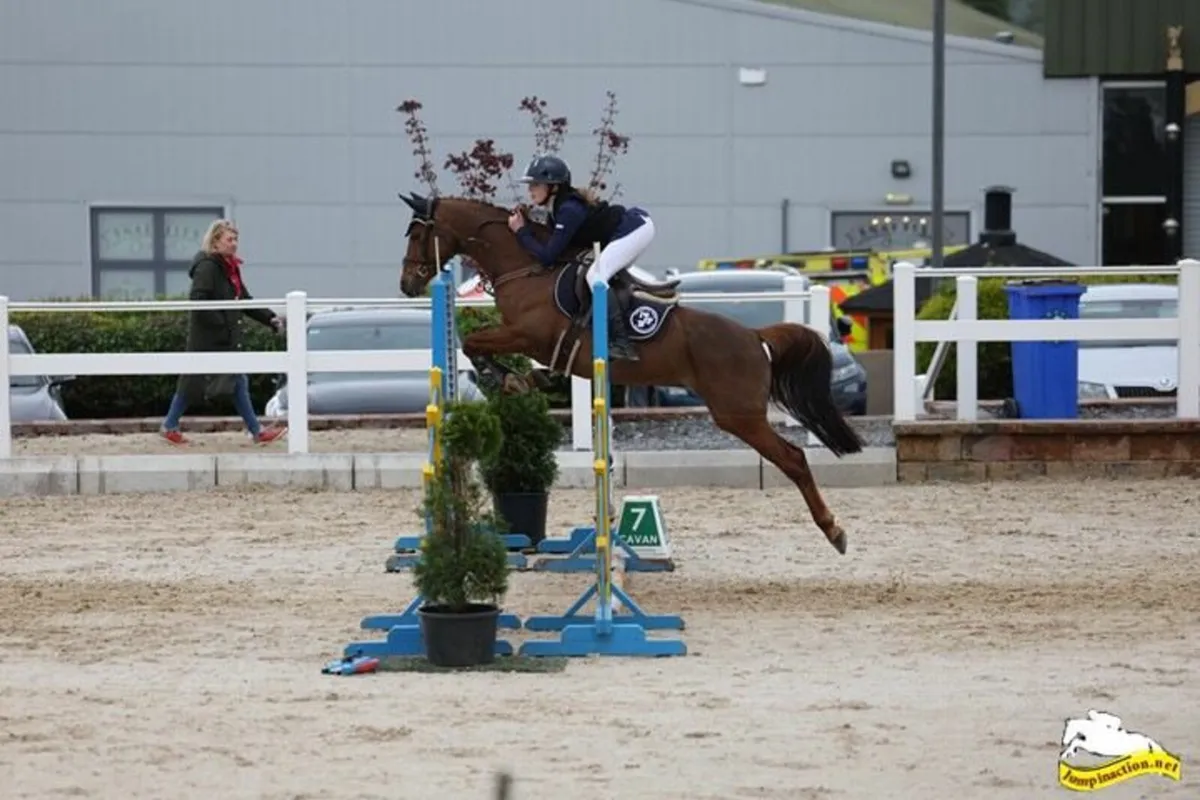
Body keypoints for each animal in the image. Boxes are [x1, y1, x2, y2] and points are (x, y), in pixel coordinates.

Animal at [396, 191, 864, 554]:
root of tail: (753, 336)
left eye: (418, 234)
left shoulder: (526, 335)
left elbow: (475, 343)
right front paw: (524, 380)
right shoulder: (532, 342)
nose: (406, 283)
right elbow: (483, 348)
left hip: (739, 415)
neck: (526, 267)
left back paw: (834, 530)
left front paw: (505, 379)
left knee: (794, 458)